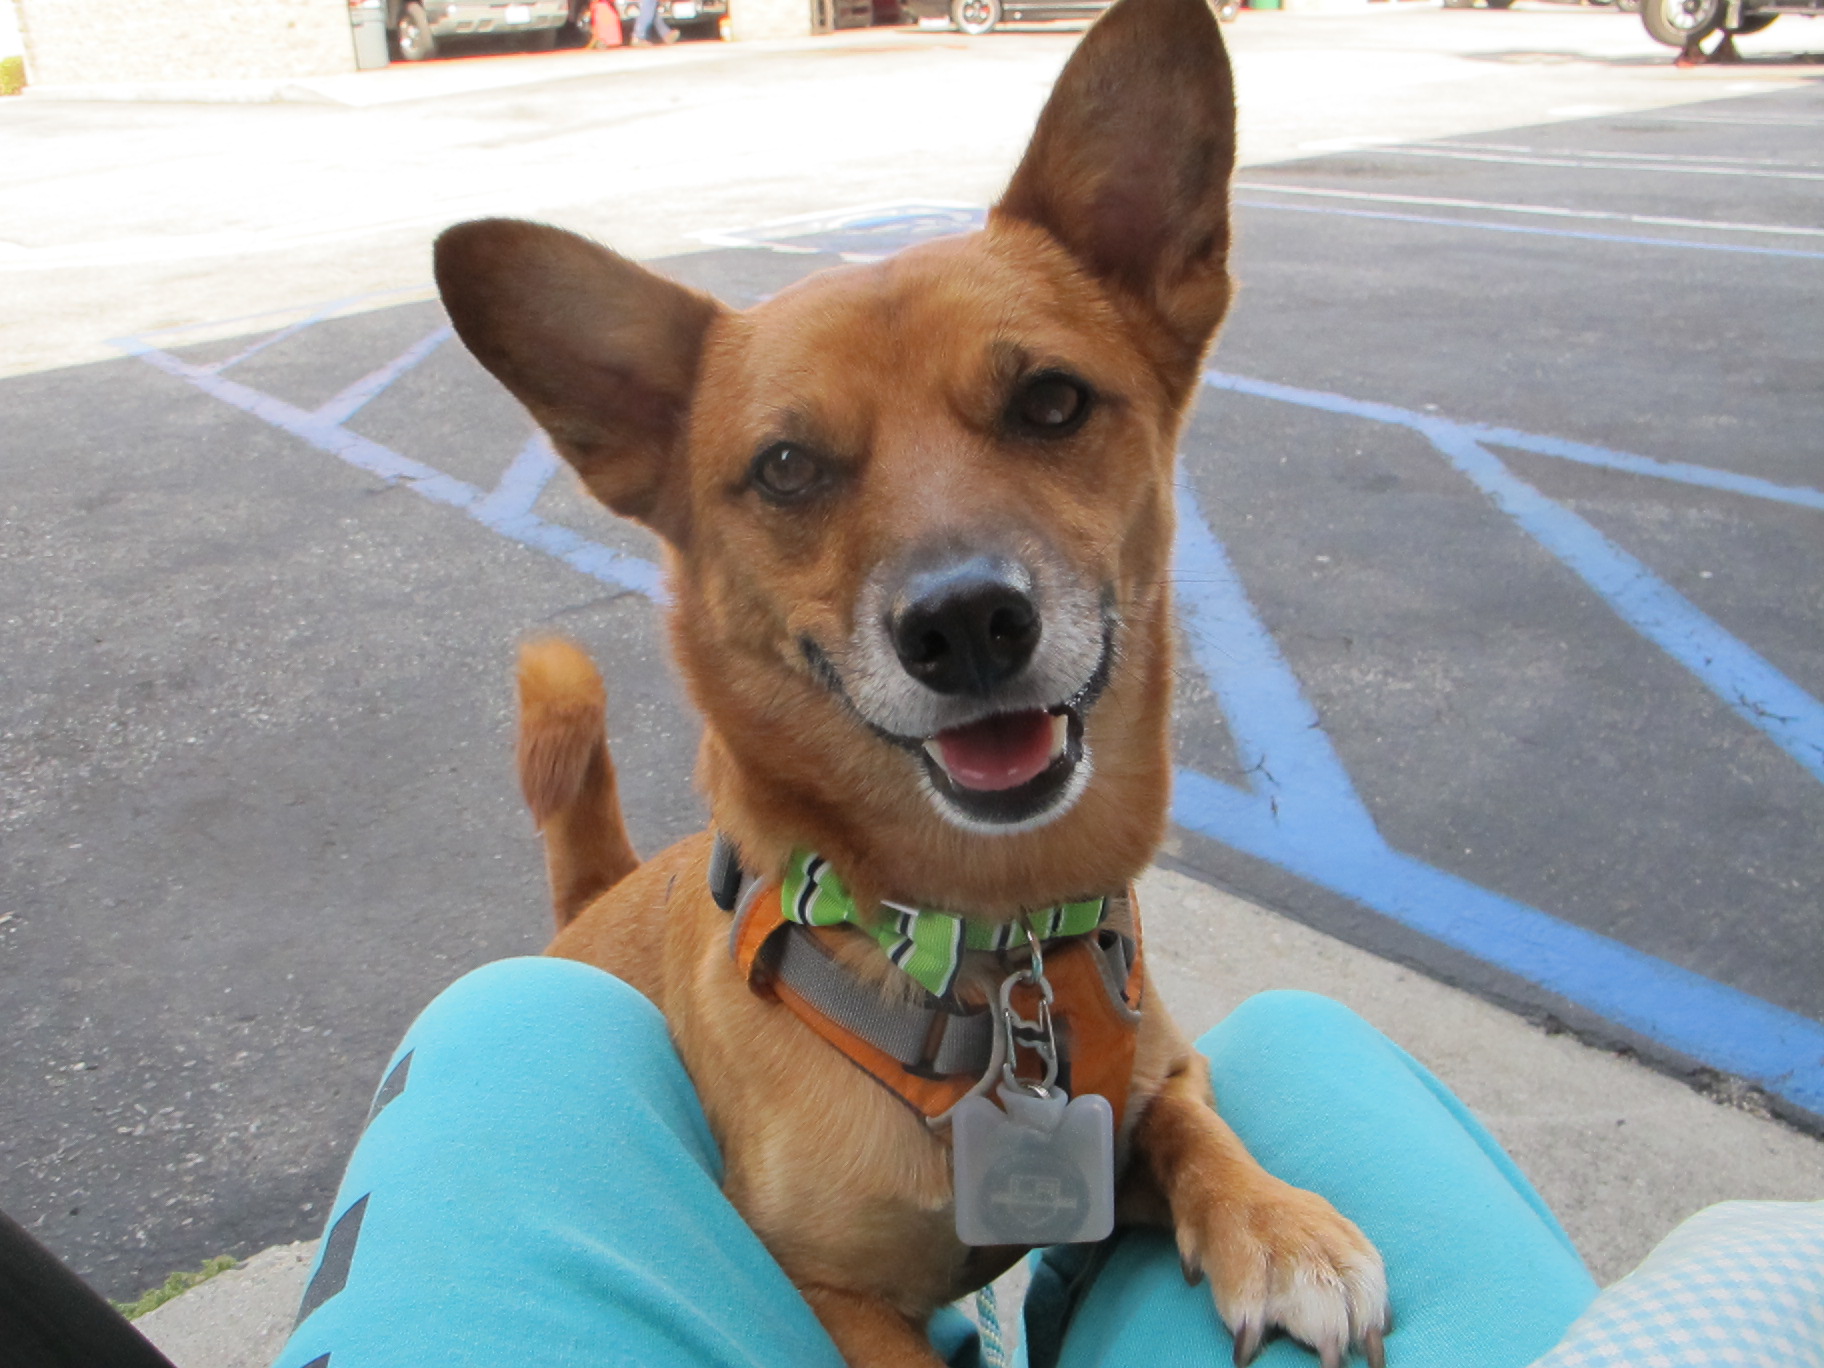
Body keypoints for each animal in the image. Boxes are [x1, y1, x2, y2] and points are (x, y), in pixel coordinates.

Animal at [433, 0, 1389, 1361]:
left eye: (1052, 401)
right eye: (785, 467)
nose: (967, 625)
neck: (989, 951)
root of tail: (593, 896)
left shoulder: (1150, 1083)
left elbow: (1185, 1116)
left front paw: (1275, 1220)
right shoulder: (826, 1290)